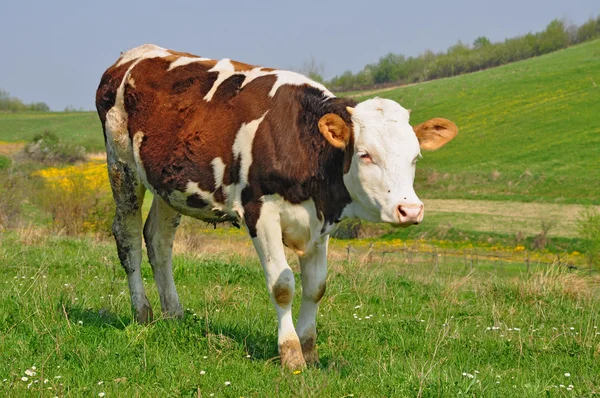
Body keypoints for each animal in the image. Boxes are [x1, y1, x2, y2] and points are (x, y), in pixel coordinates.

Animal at [96, 44, 458, 370]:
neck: (304, 144)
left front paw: (310, 351)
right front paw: (291, 354)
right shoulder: (260, 211)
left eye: (415, 157)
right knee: (128, 238)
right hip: (122, 166)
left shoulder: (322, 223)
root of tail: (134, 55)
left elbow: (316, 287)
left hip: (170, 185)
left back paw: (174, 314)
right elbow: (282, 285)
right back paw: (142, 312)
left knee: (159, 242)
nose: (410, 210)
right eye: (365, 154)